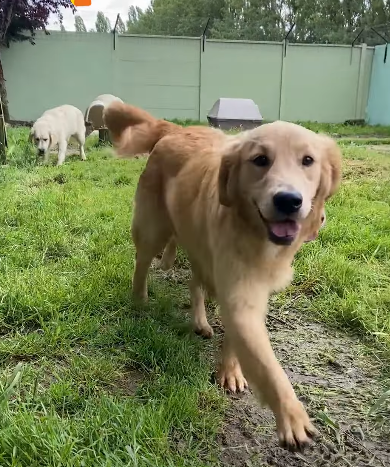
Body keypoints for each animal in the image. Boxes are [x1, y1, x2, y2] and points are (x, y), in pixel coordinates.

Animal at [103, 103, 342, 454]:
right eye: (260, 160)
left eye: (308, 160)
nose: (289, 200)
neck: (254, 233)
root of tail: (175, 129)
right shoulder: (240, 295)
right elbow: (268, 367)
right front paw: (291, 414)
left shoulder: (242, 292)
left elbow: (234, 337)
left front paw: (229, 370)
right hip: (153, 229)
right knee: (142, 263)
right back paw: (140, 300)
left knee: (194, 281)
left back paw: (200, 321)